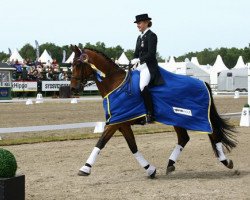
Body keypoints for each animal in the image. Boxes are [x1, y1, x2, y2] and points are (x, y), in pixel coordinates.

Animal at [70, 45, 236, 178]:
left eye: (78, 64)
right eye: (71, 64)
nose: (73, 89)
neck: (115, 84)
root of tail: (203, 82)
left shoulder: (116, 122)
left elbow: (101, 142)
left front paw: (85, 168)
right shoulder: (122, 123)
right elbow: (133, 147)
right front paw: (150, 170)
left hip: (193, 117)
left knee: (213, 133)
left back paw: (226, 161)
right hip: (177, 118)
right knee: (184, 138)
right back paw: (170, 164)